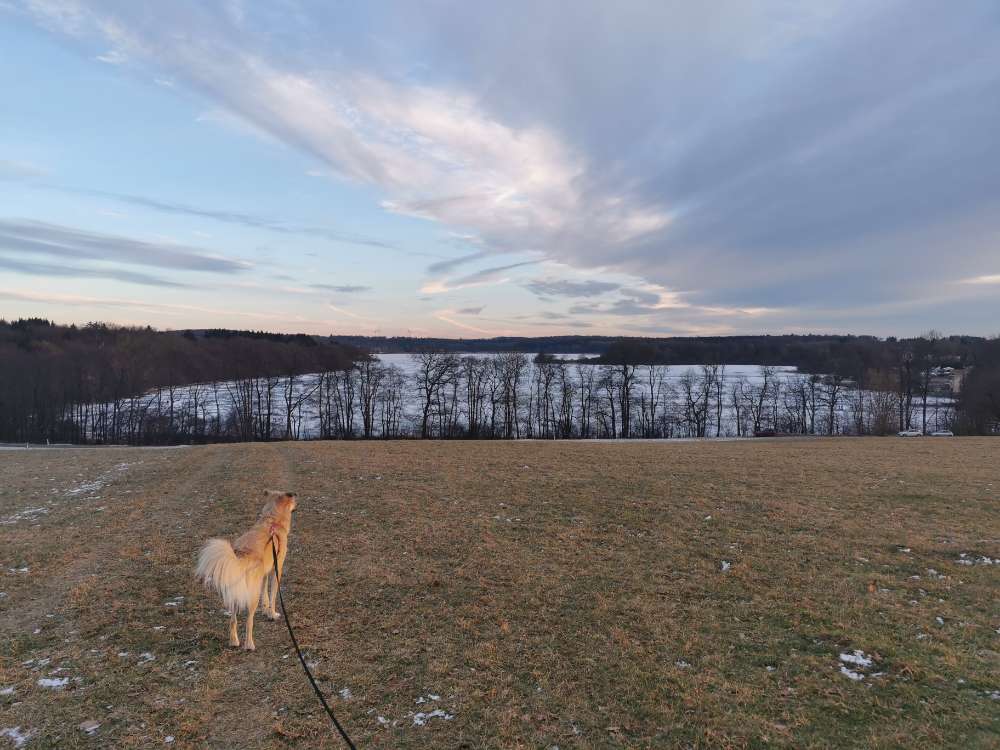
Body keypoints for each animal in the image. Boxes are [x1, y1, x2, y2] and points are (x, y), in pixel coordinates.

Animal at [195, 494, 296, 652]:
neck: (273, 520)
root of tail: (242, 557)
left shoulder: (264, 574)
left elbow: (265, 593)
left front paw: (265, 610)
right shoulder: (276, 569)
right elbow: (273, 596)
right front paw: (272, 614)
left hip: (236, 591)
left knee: (233, 620)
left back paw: (234, 641)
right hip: (251, 595)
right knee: (249, 621)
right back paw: (249, 645)